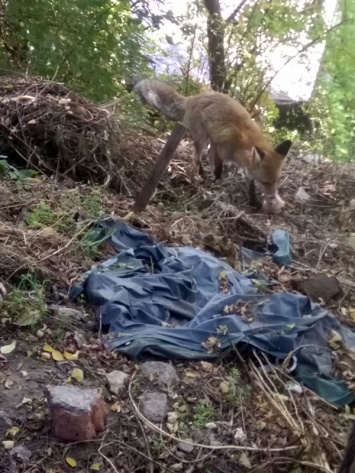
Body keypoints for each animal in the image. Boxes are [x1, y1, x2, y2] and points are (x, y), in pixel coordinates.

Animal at [135, 78, 294, 213]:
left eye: (276, 181)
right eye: (265, 182)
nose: (272, 197)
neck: (242, 145)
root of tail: (193, 97)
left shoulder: (246, 166)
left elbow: (250, 184)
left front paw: (253, 200)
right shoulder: (222, 152)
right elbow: (218, 169)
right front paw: (217, 184)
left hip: (211, 139)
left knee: (206, 155)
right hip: (202, 138)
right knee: (197, 158)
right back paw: (200, 175)